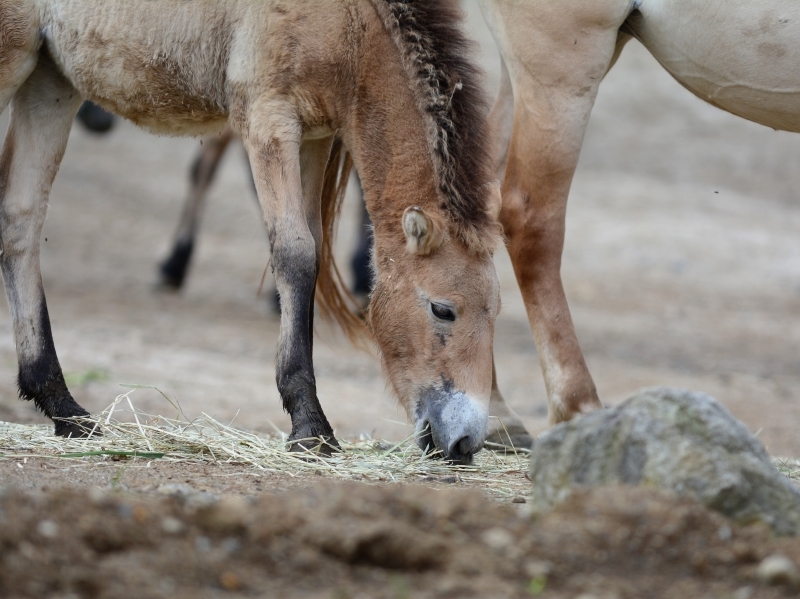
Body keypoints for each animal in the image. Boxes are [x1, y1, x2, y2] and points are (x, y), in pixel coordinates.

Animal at [0, 0, 506, 464]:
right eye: (443, 310)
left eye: (496, 313)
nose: (464, 442)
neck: (351, 23)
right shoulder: (268, 120)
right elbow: (295, 254)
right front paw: (310, 425)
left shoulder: (316, 136)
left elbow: (313, 250)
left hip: (50, 81)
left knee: (20, 220)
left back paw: (63, 407)